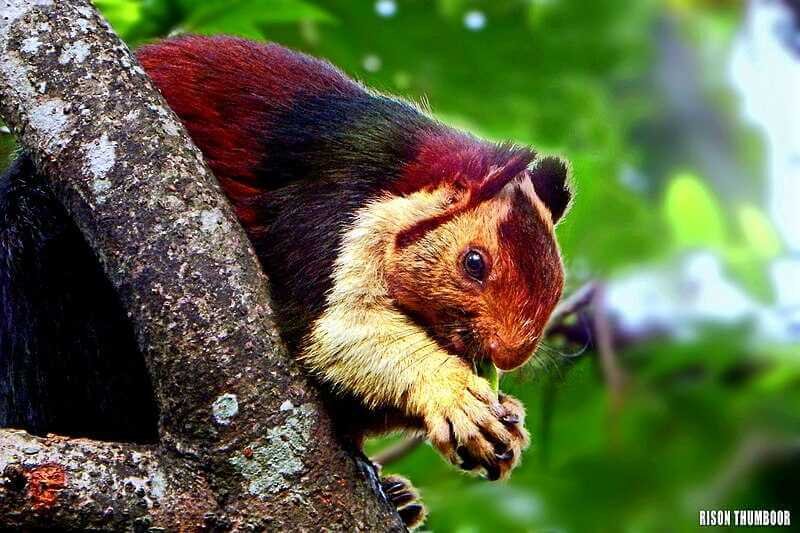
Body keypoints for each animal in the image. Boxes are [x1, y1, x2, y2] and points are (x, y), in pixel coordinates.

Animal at [0, 36, 571, 528]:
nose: (508, 353)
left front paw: (506, 421)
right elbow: (329, 334)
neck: (402, 179)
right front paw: (453, 394)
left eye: (556, 288)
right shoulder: (323, 219)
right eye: (474, 263)